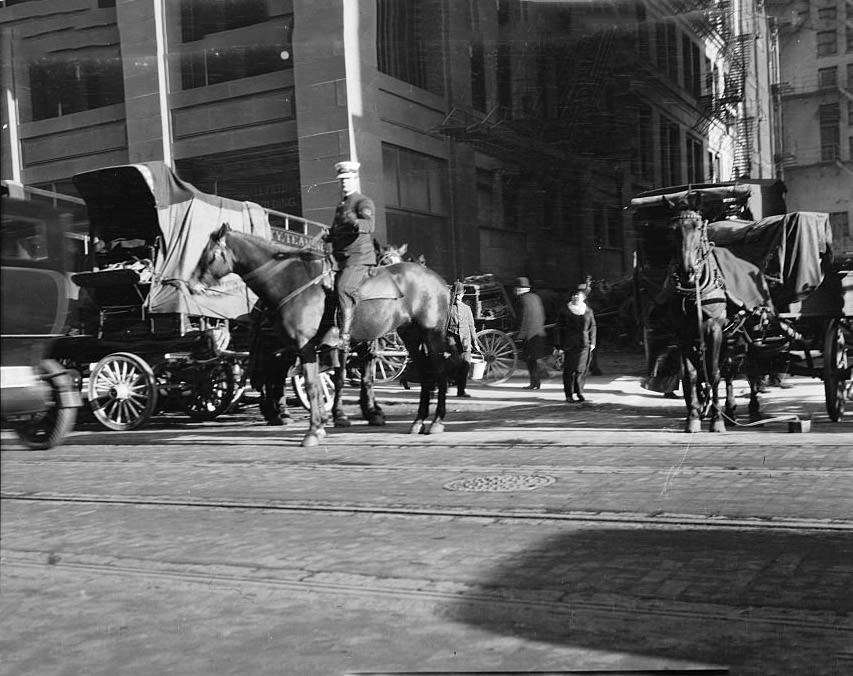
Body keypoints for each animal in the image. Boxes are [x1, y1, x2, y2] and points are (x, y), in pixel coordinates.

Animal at [188, 226, 452, 448]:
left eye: (211, 254)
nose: (192, 285)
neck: (292, 281)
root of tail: (439, 281)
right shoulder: (310, 348)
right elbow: (320, 382)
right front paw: (324, 423)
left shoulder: (313, 346)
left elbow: (323, 383)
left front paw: (319, 427)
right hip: (411, 335)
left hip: (430, 333)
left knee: (439, 371)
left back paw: (436, 421)